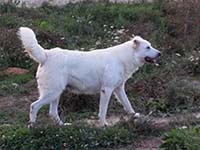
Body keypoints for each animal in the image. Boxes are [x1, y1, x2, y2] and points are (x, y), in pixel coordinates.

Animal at [17, 26, 161, 127]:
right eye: (148, 47)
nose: (160, 53)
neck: (124, 57)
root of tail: (46, 54)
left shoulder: (119, 89)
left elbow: (128, 105)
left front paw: (135, 116)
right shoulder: (107, 90)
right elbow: (103, 111)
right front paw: (103, 125)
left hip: (56, 94)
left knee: (52, 113)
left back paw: (62, 126)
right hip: (52, 93)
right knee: (34, 106)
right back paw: (33, 127)